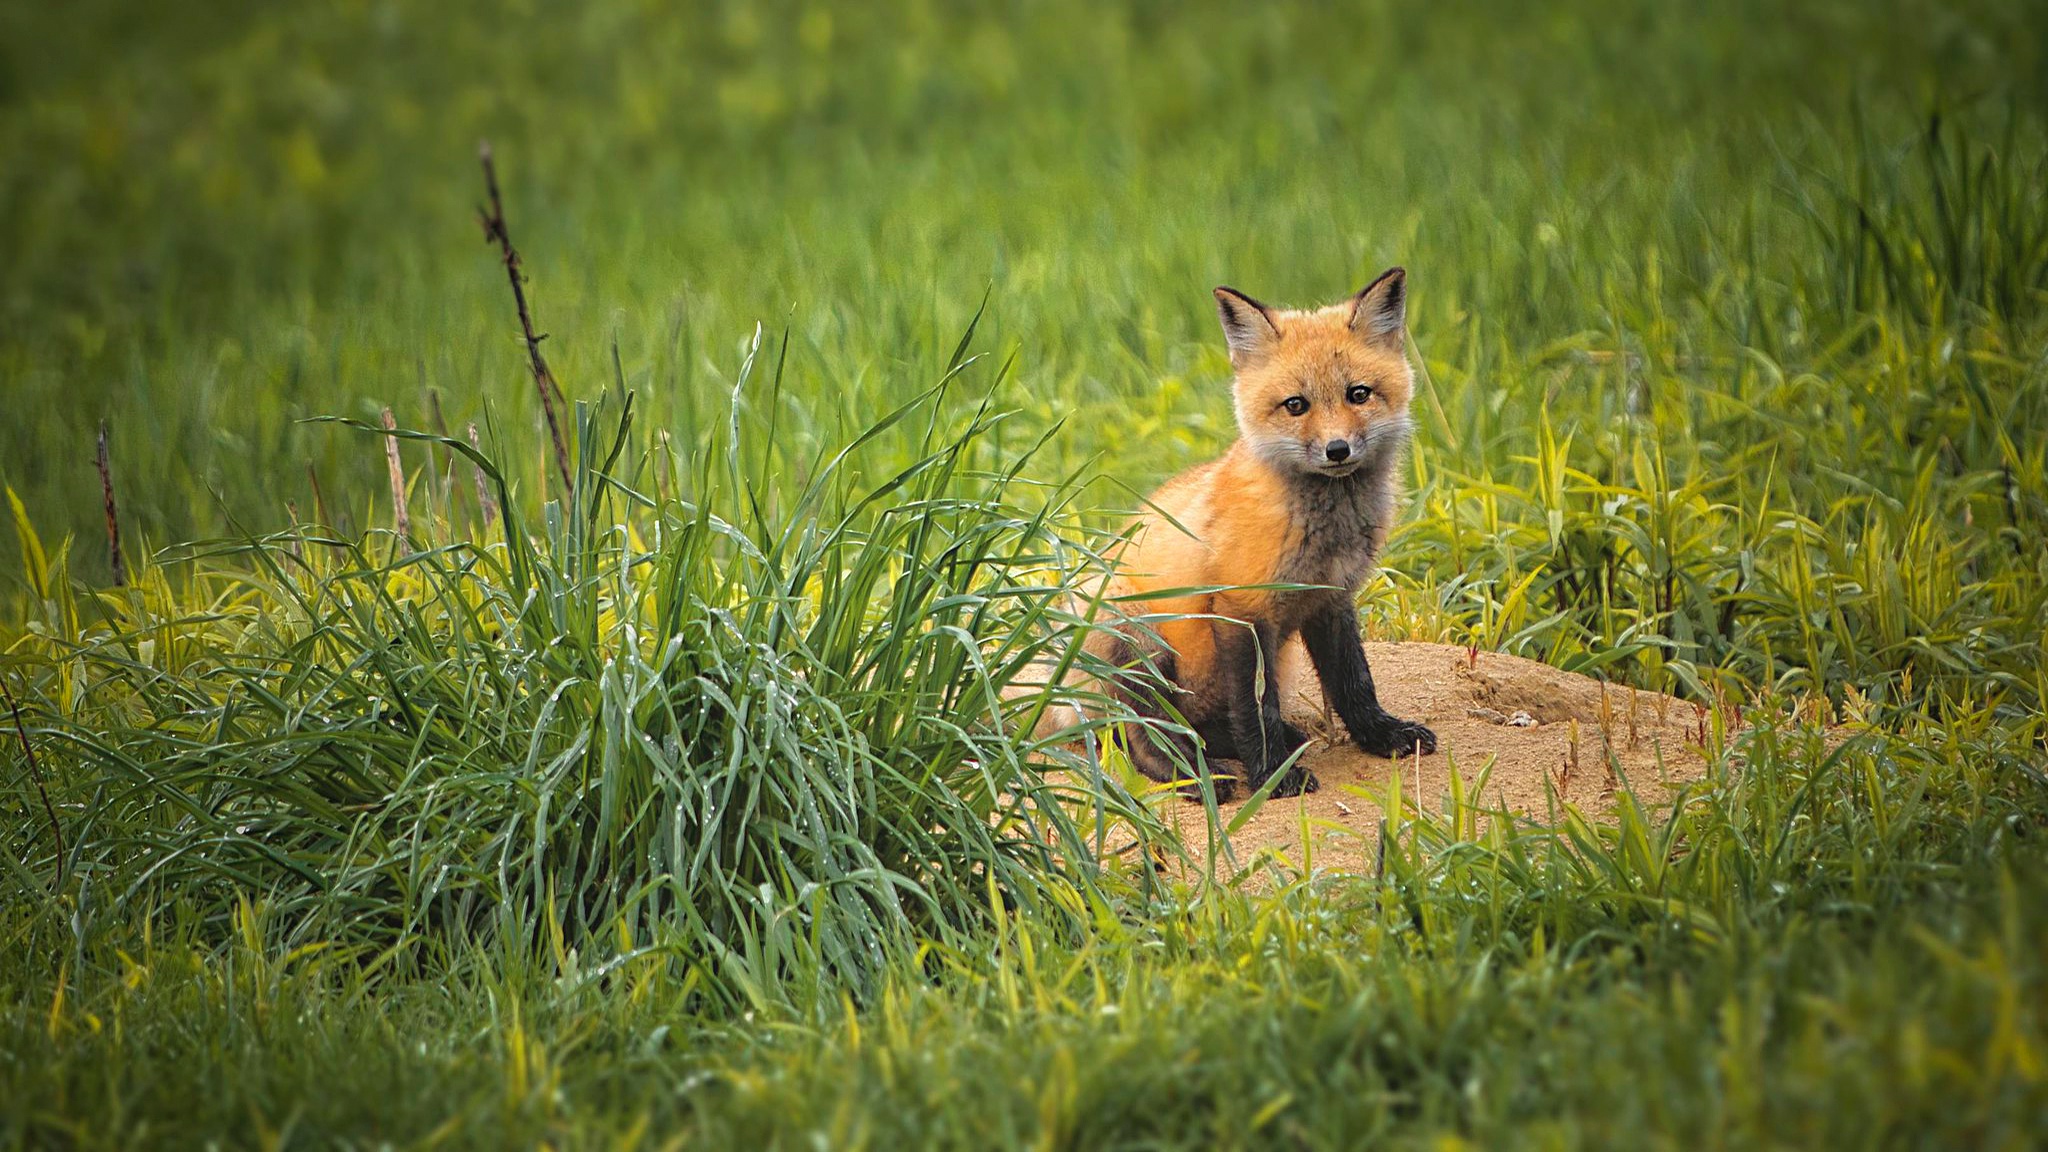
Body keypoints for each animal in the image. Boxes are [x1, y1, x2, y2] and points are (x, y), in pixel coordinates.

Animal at [1097, 266, 1433, 799]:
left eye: (1358, 394)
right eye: (1296, 405)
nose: (1337, 449)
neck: (1322, 530)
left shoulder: (1330, 597)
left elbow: (1354, 681)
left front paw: (1380, 733)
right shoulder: (1243, 609)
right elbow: (1256, 707)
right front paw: (1274, 774)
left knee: (1203, 726)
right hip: (1139, 637)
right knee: (1142, 737)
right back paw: (1192, 774)